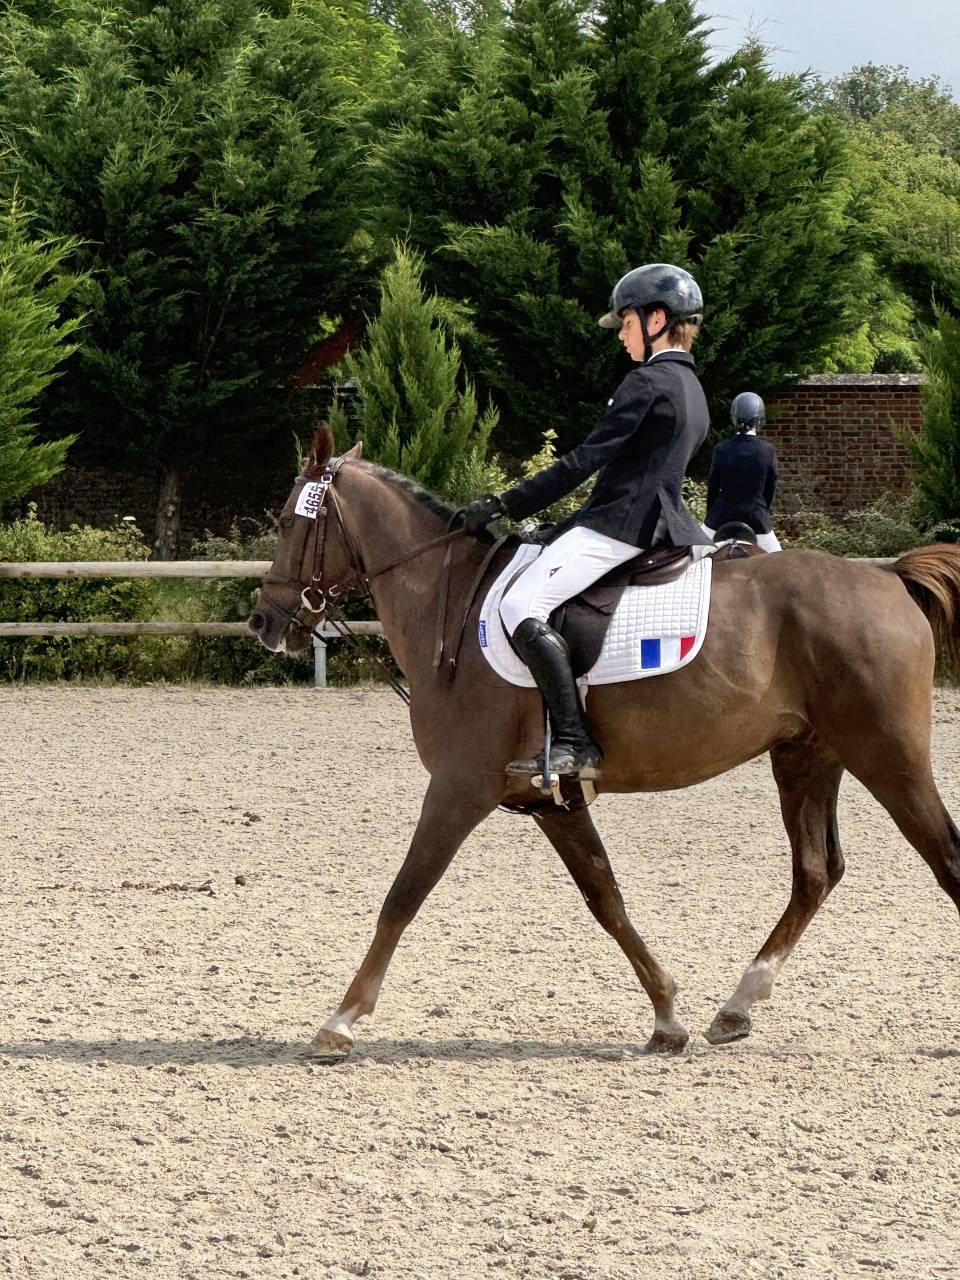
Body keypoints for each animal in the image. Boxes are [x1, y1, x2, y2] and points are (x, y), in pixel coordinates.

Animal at [250, 426, 960, 1057]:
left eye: (287, 522)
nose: (262, 621)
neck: (448, 609)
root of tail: (889, 577)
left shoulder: (458, 787)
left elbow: (402, 895)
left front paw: (341, 1020)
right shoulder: (552, 801)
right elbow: (606, 899)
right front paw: (668, 1016)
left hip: (887, 756)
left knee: (943, 858)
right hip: (807, 756)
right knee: (816, 871)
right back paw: (735, 1007)